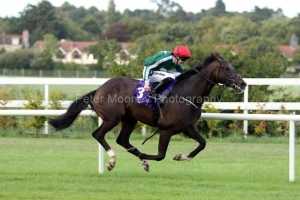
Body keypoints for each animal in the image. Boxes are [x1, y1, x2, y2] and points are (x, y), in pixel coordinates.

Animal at [48, 52, 246, 172]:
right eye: (226, 68)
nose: (243, 83)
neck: (187, 93)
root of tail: (98, 90)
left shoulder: (187, 127)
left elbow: (202, 144)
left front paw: (181, 156)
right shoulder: (166, 129)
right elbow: (160, 155)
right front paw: (145, 158)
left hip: (130, 119)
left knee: (122, 140)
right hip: (112, 118)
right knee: (98, 134)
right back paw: (112, 160)